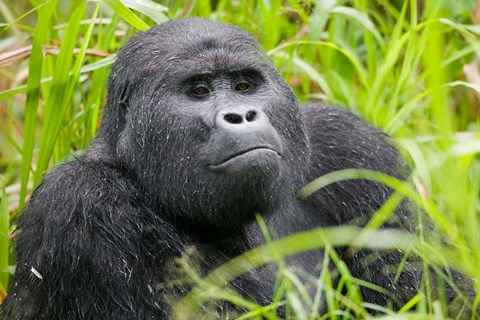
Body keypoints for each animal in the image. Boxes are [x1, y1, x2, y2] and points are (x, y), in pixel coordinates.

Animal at [0, 18, 464, 320]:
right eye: (199, 90)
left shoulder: (353, 149)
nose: (241, 115)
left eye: (244, 85)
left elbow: (442, 297)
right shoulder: (86, 203)